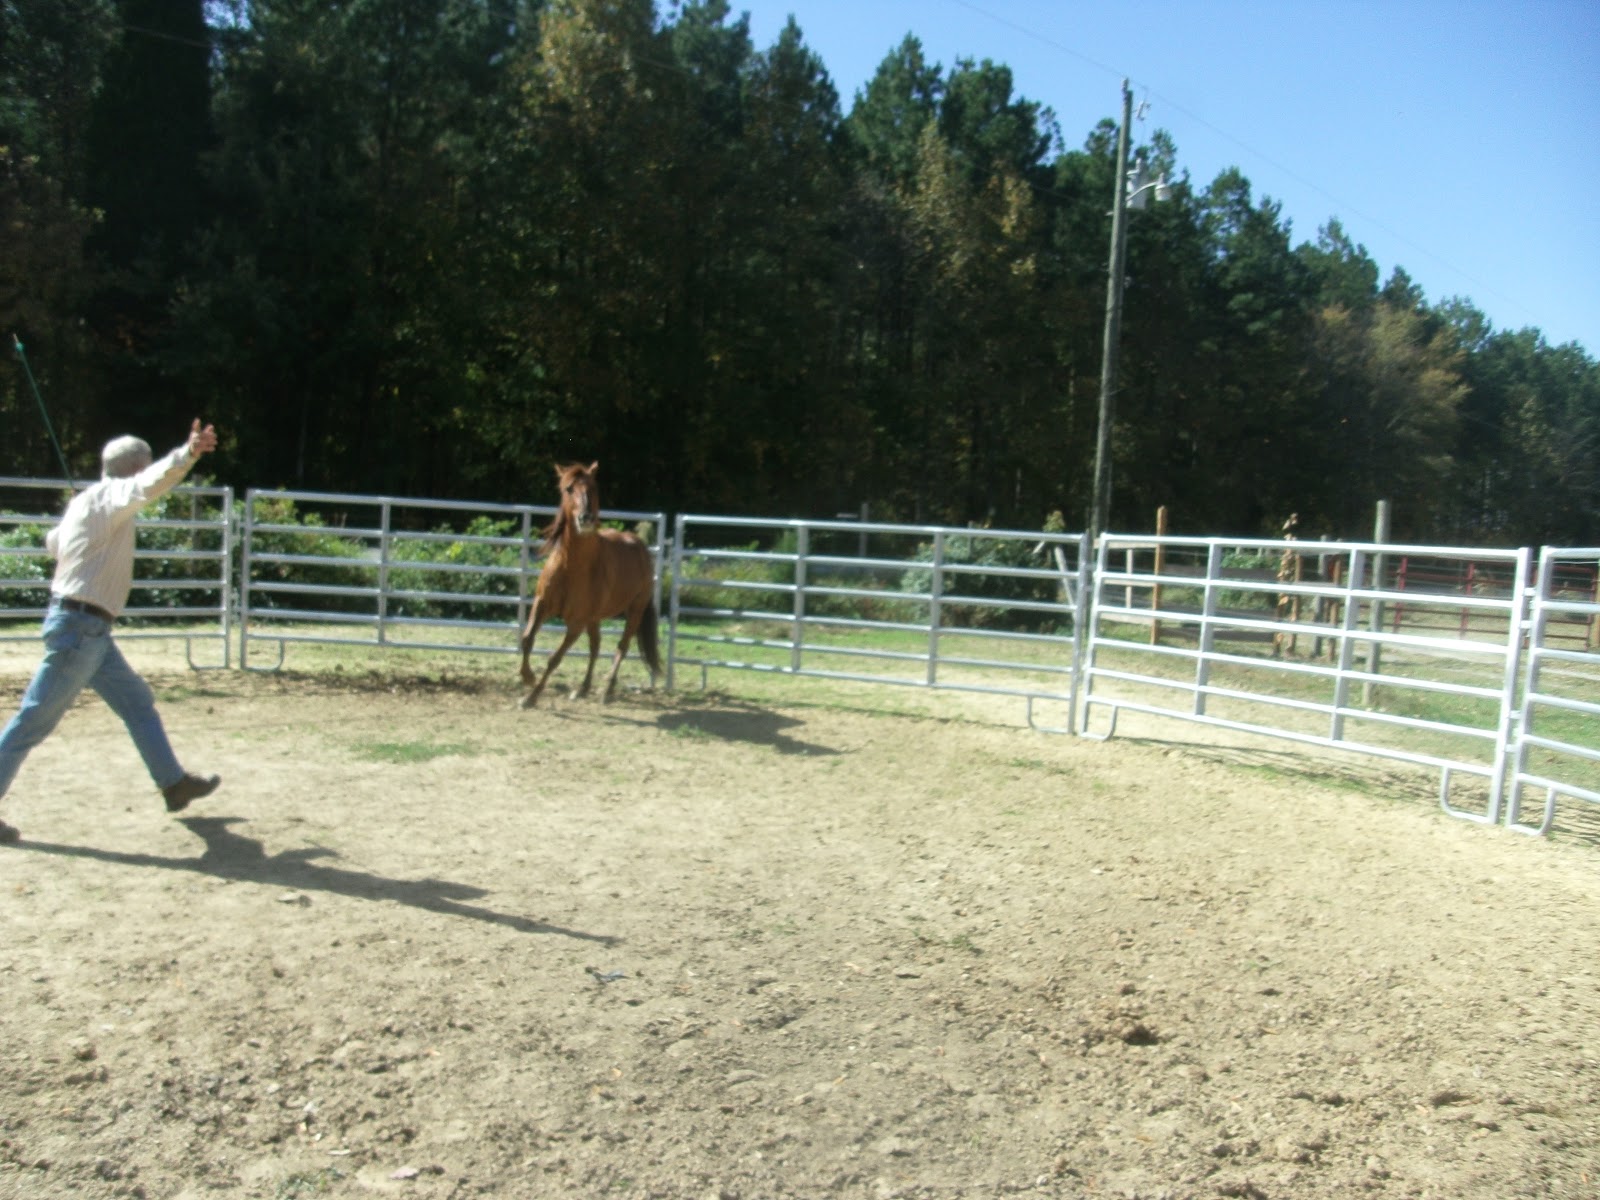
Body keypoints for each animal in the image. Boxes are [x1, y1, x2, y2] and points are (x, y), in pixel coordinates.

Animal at [518, 461, 662, 708]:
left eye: (592, 488)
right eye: (568, 489)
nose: (585, 518)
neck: (572, 566)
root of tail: (640, 546)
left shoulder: (576, 623)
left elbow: (555, 659)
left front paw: (531, 696)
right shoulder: (541, 605)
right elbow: (527, 639)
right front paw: (527, 677)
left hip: (635, 610)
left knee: (621, 647)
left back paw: (607, 690)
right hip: (595, 618)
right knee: (596, 646)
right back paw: (583, 689)